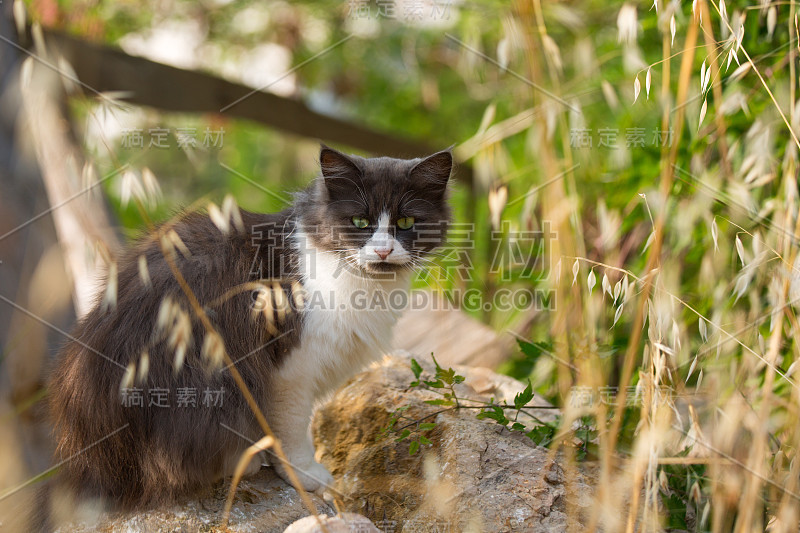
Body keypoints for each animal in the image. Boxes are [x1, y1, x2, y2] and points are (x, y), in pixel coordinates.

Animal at [48, 145, 450, 508]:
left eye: (406, 223)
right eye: (360, 223)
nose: (383, 251)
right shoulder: (290, 368)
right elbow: (291, 430)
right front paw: (303, 473)